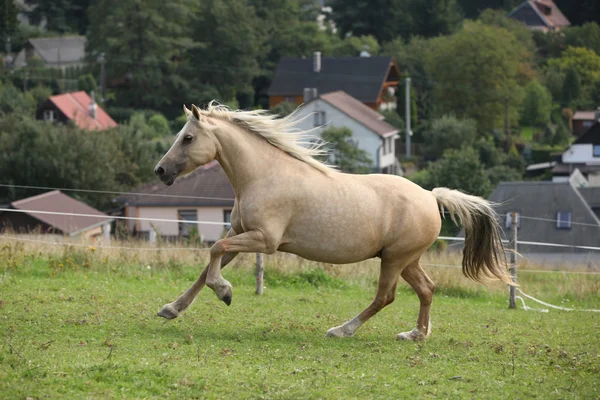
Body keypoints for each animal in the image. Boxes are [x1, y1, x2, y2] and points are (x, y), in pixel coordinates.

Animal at [154, 102, 510, 340]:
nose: (160, 170)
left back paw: (342, 330)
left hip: (395, 259)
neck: (263, 175)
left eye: (187, 138)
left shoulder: (264, 240)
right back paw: (415, 335)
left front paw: (224, 292)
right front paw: (171, 309)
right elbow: (208, 265)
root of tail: (430, 196)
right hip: (407, 259)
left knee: (386, 297)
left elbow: (214, 250)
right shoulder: (241, 233)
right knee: (426, 289)